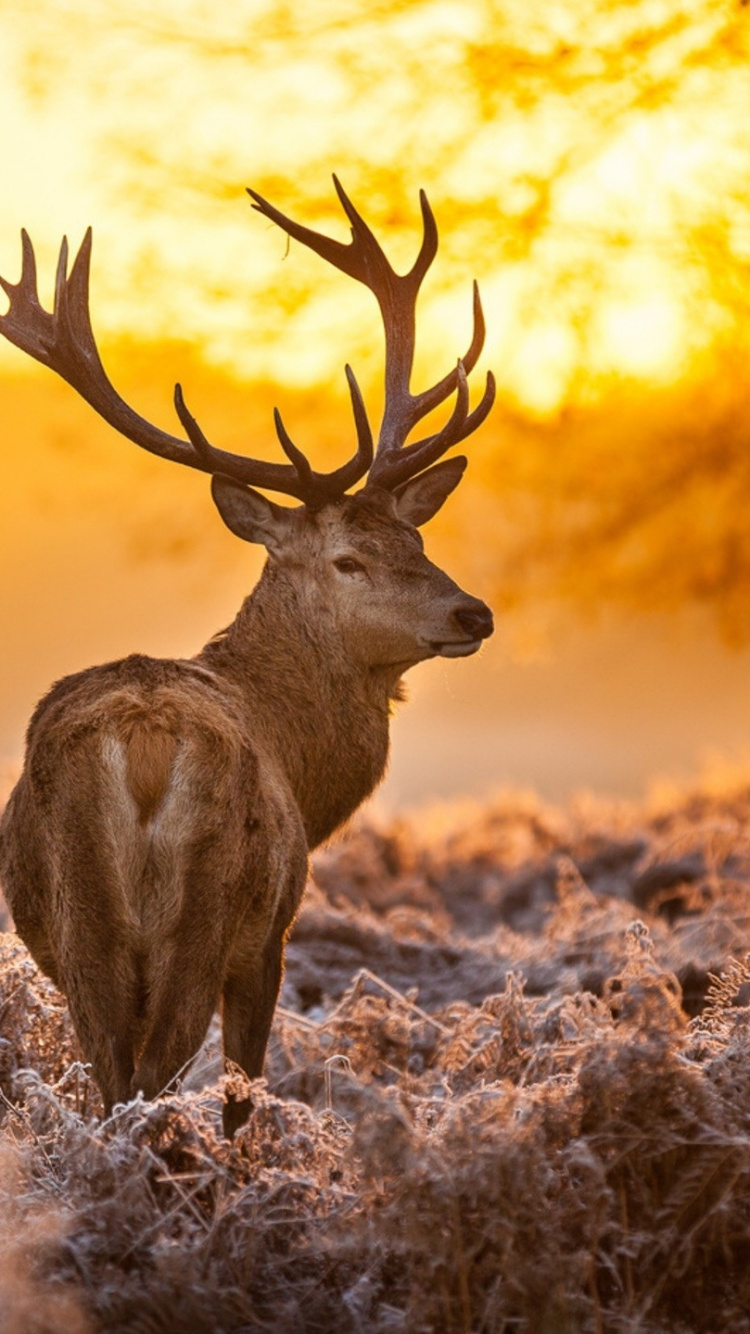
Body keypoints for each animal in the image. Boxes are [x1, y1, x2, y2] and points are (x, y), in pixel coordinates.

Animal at [0, 179, 495, 1135]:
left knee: (112, 1080)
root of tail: (143, 743)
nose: (474, 611)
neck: (303, 765)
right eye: (348, 559)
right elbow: (243, 1095)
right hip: (208, 910)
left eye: (417, 538)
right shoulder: (271, 936)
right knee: (153, 1079)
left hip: (81, 925)